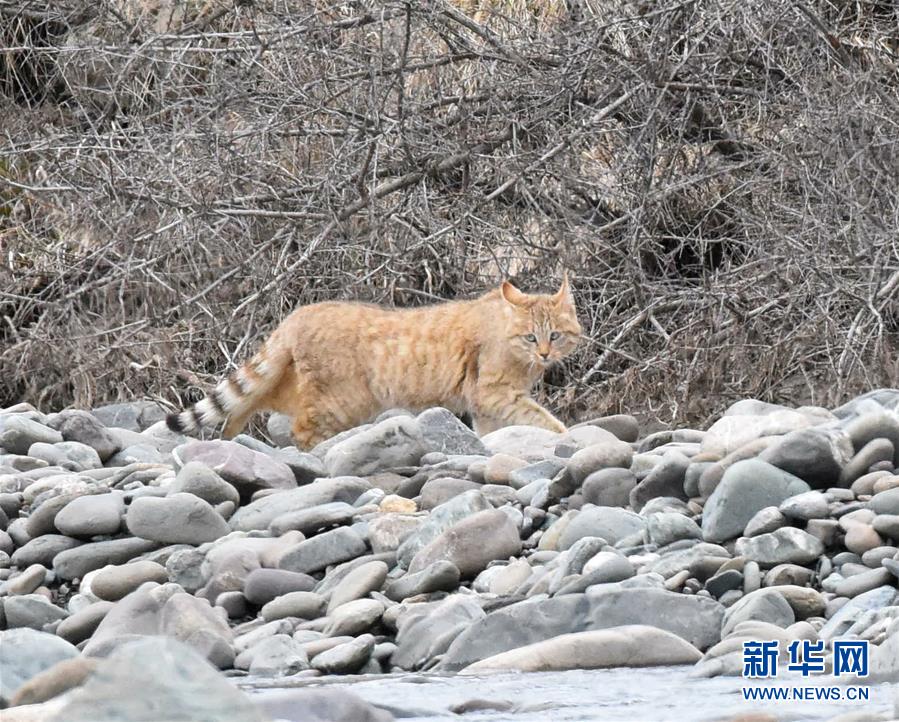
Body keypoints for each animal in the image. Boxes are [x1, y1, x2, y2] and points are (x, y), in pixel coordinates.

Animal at [165, 274, 580, 448]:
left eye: (556, 336)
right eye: (531, 337)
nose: (545, 354)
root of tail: (298, 314)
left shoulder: (484, 402)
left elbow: (493, 431)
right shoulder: (495, 392)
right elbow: (539, 417)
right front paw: (564, 436)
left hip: (291, 386)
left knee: (245, 403)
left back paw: (230, 437)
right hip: (342, 401)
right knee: (302, 429)